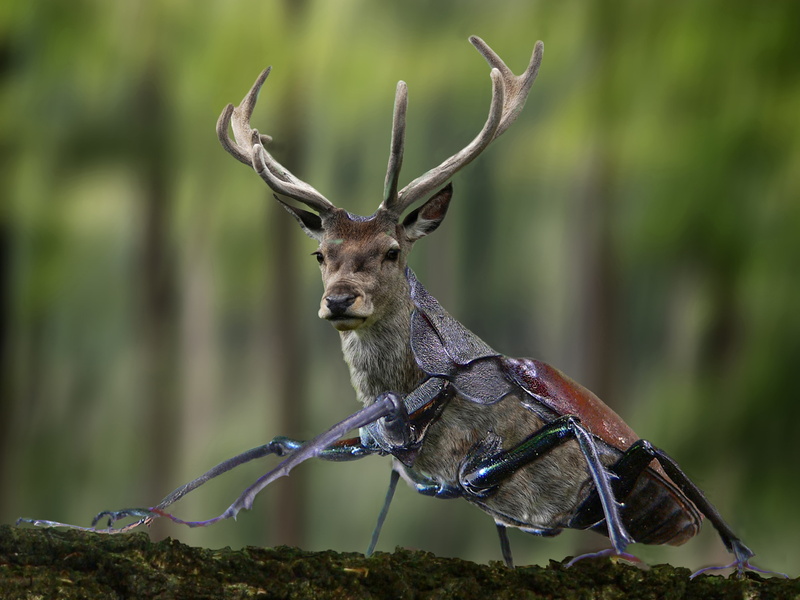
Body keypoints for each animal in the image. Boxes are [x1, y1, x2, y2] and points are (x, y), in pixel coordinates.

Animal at [19, 36, 780, 578]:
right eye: (321, 255)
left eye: (390, 251)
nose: (338, 302)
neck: (421, 378)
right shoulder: (399, 453)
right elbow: (280, 446)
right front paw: (96, 519)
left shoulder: (462, 444)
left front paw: (209, 520)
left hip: (642, 474)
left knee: (662, 467)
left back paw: (716, 560)